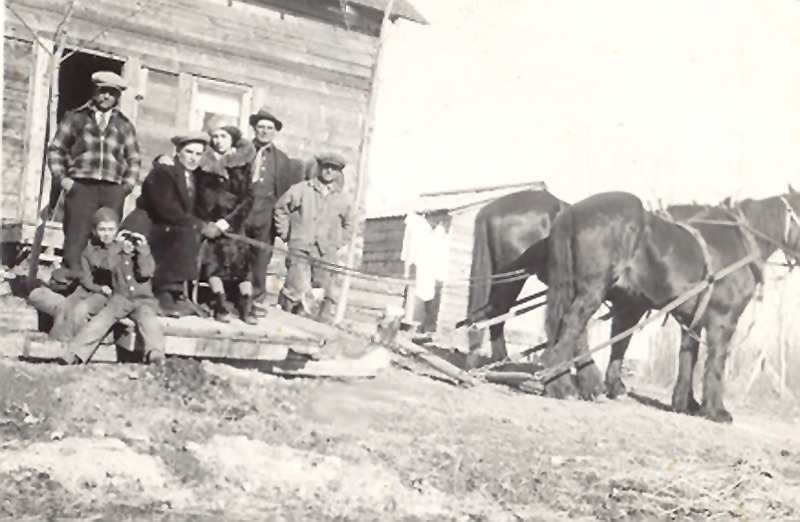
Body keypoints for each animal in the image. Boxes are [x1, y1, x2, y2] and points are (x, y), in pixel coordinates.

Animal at [541, 189, 800, 423]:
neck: (741, 241)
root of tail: (572, 212)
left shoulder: (692, 320)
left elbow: (688, 358)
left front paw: (685, 403)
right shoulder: (723, 319)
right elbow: (716, 361)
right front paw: (716, 411)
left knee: (576, 332)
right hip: (593, 289)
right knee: (571, 327)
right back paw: (561, 386)